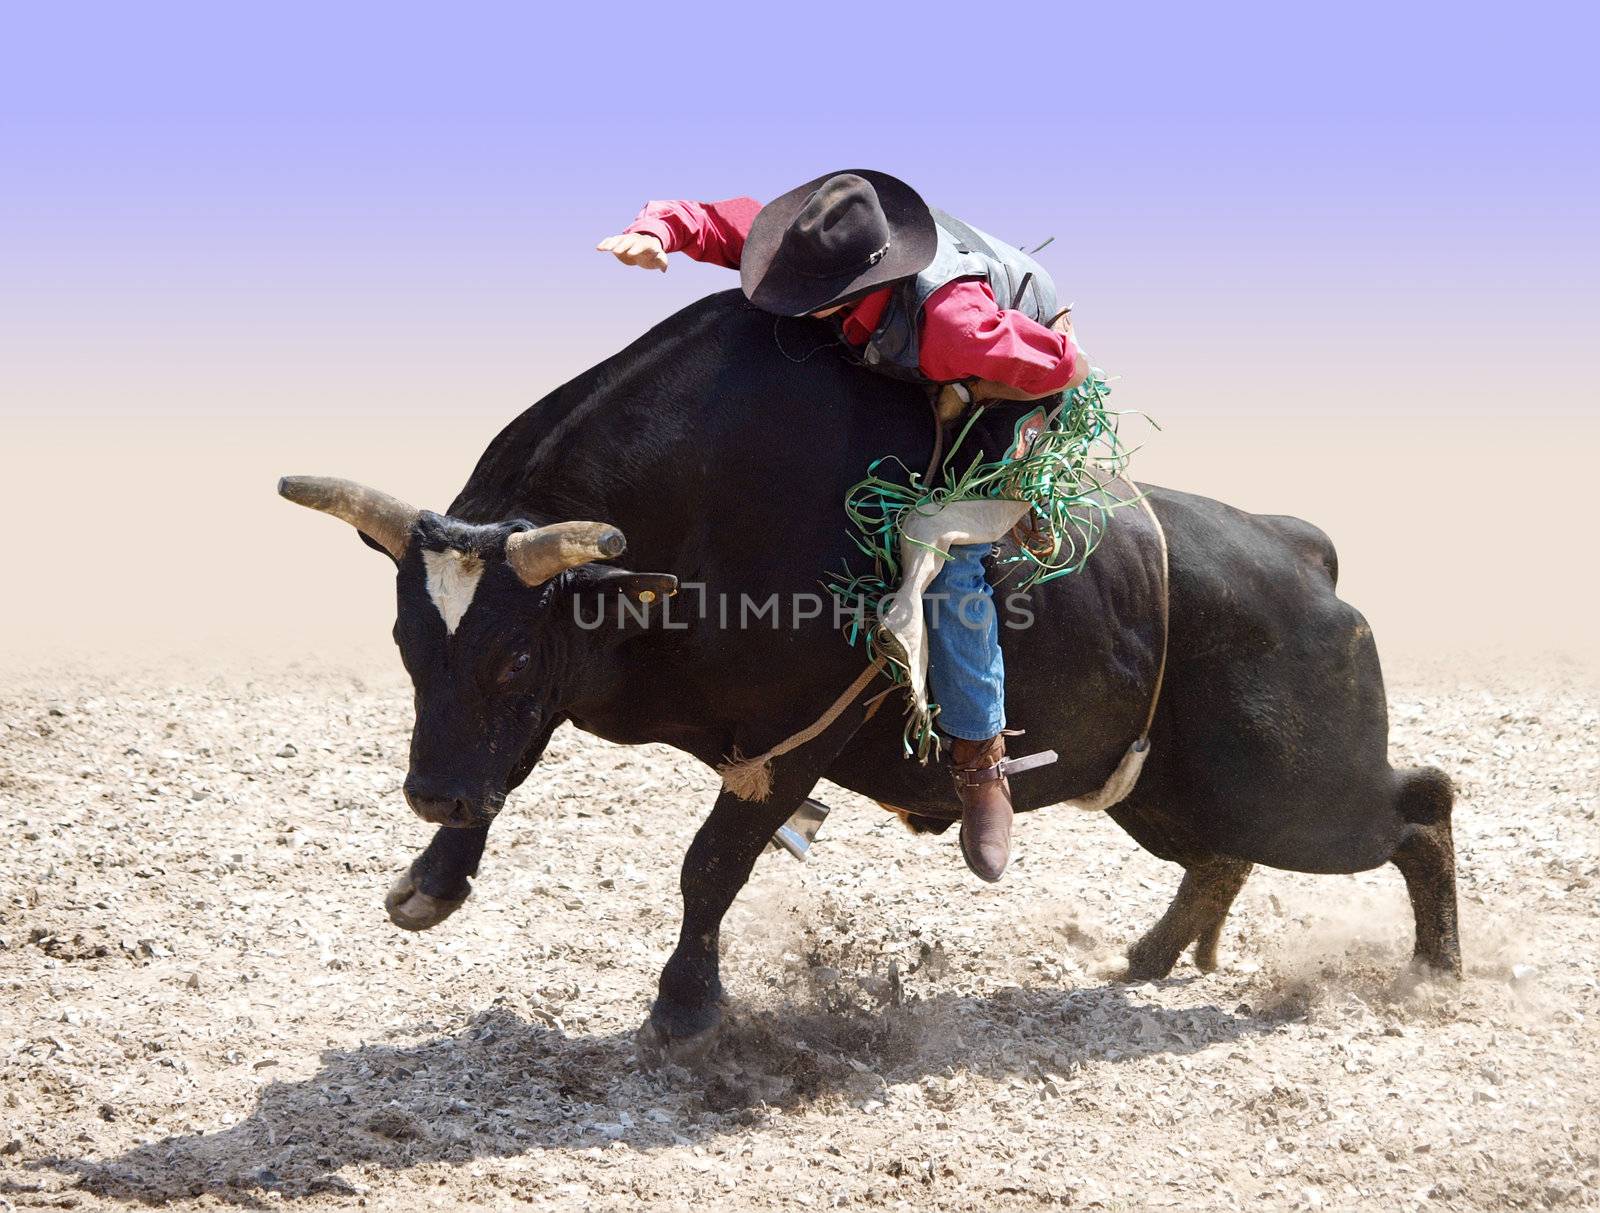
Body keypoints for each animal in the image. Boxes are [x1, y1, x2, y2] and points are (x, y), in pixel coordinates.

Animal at [278, 289, 1465, 1068]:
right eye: (408, 645)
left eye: (515, 651)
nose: (425, 794)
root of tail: (1297, 548)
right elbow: (504, 766)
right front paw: (433, 876)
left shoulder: (790, 739)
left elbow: (711, 864)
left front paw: (684, 1008)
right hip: (1173, 792)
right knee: (1225, 854)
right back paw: (1153, 954)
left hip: (1304, 795)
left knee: (1421, 806)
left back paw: (1438, 971)